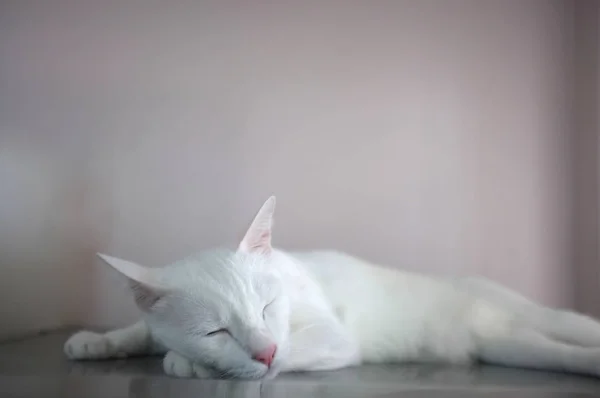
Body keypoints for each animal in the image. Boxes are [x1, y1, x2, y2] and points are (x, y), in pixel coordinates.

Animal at [65, 196, 600, 380]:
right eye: (216, 331)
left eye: (267, 307)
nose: (263, 351)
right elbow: (142, 329)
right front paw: (97, 341)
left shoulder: (334, 338)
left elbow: (293, 351)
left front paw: (188, 363)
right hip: (508, 346)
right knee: (556, 351)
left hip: (528, 319)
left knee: (573, 328)